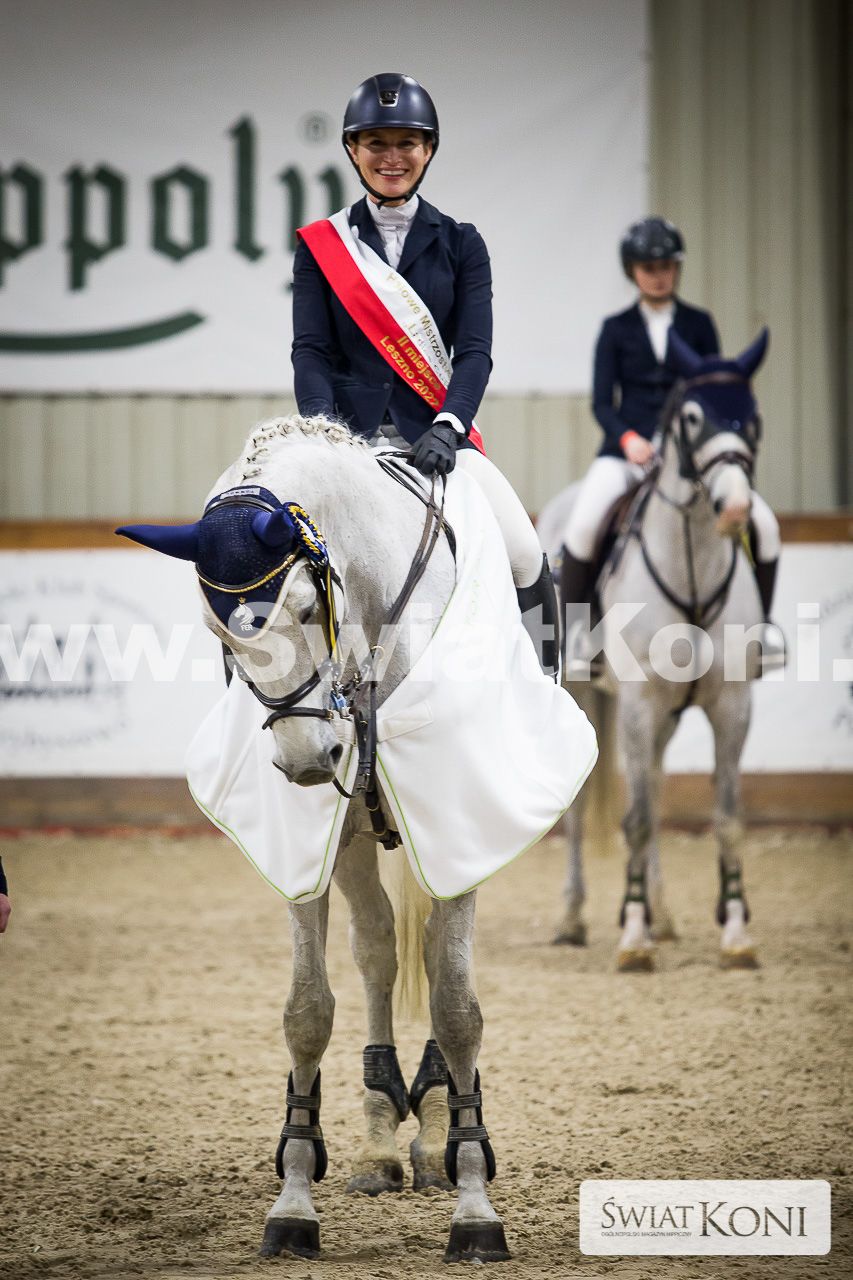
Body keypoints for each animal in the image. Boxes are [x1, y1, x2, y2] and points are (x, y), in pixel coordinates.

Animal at [117, 414, 596, 1263]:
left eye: (309, 609)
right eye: (219, 632)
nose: (308, 760)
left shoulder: (454, 817)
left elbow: (456, 1006)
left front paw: (474, 1208)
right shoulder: (314, 842)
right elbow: (308, 1010)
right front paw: (293, 1203)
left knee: (432, 956)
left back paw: (433, 1135)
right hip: (356, 841)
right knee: (377, 948)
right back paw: (378, 1143)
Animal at [539, 331, 771, 971]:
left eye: (754, 416)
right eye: (692, 416)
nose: (735, 508)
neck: (690, 565)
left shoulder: (732, 704)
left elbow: (727, 817)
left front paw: (735, 931)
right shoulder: (639, 701)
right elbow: (638, 820)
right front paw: (633, 939)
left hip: (667, 712)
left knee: (660, 781)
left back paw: (664, 916)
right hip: (589, 693)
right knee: (585, 808)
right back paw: (572, 919)